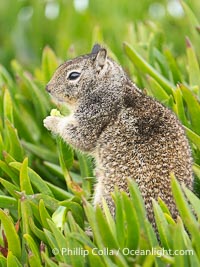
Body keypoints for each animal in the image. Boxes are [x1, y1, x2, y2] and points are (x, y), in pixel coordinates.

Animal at [43, 45, 192, 225]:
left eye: (73, 75)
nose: (47, 88)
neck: (113, 88)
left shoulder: (94, 114)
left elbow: (80, 137)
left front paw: (51, 121)